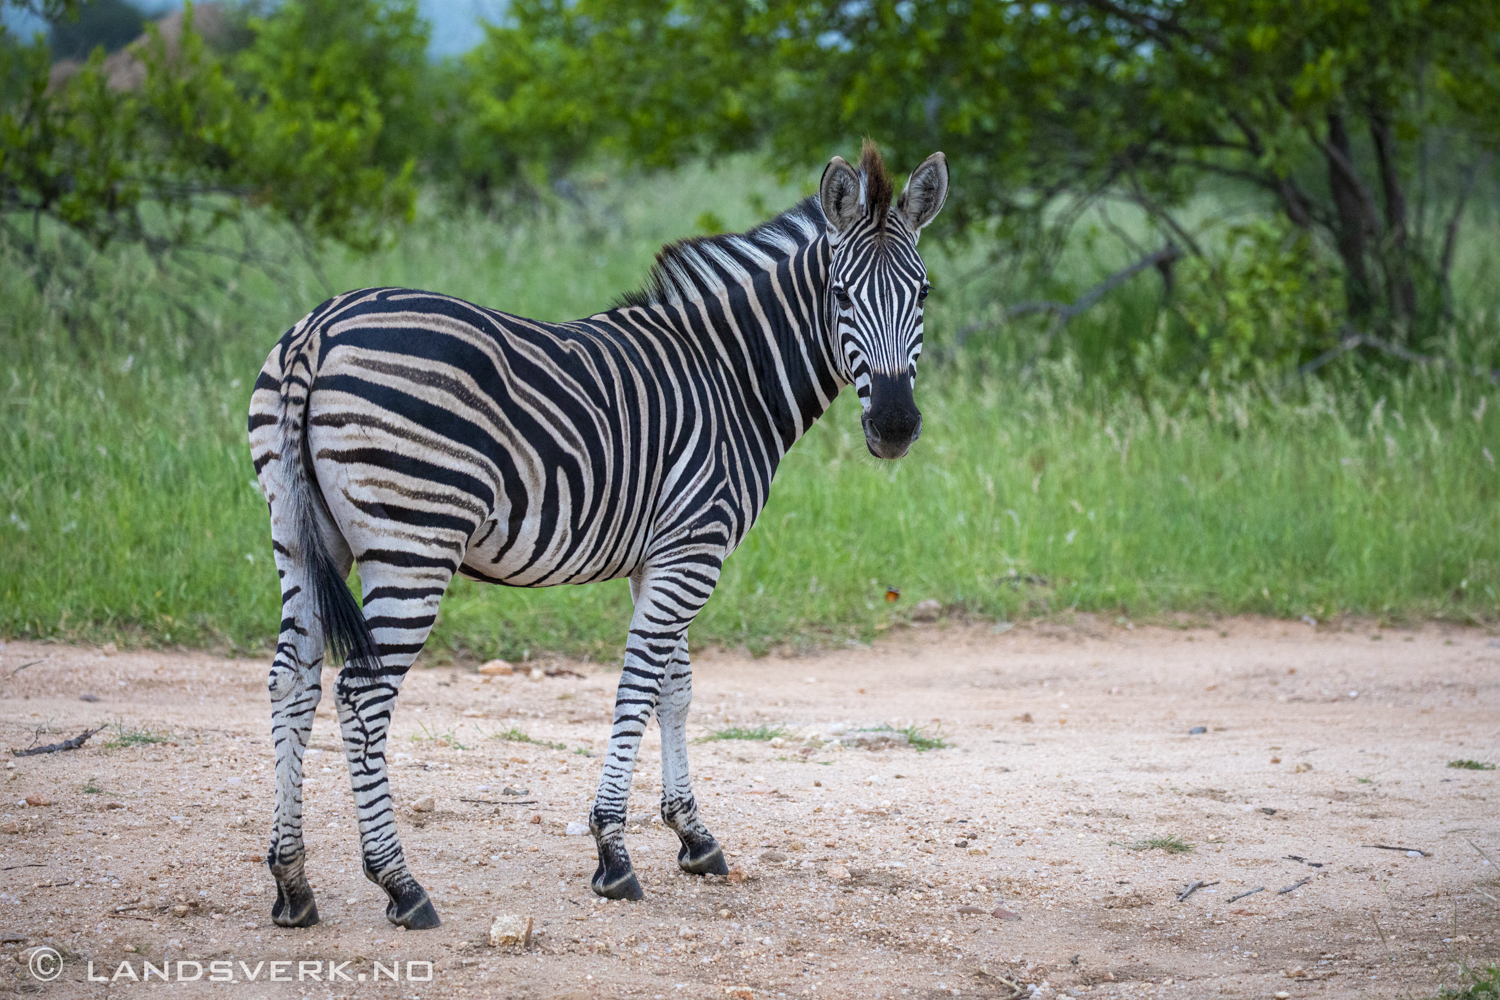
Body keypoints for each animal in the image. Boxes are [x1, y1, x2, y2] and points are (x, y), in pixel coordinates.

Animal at [246, 142, 948, 929]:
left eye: (923, 296)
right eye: (841, 297)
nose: (894, 427)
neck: (731, 377)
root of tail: (317, 332)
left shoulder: (663, 554)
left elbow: (676, 688)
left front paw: (693, 836)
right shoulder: (693, 549)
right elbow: (640, 685)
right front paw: (613, 852)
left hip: (297, 533)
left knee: (291, 680)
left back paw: (292, 885)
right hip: (413, 544)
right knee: (362, 696)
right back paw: (400, 883)